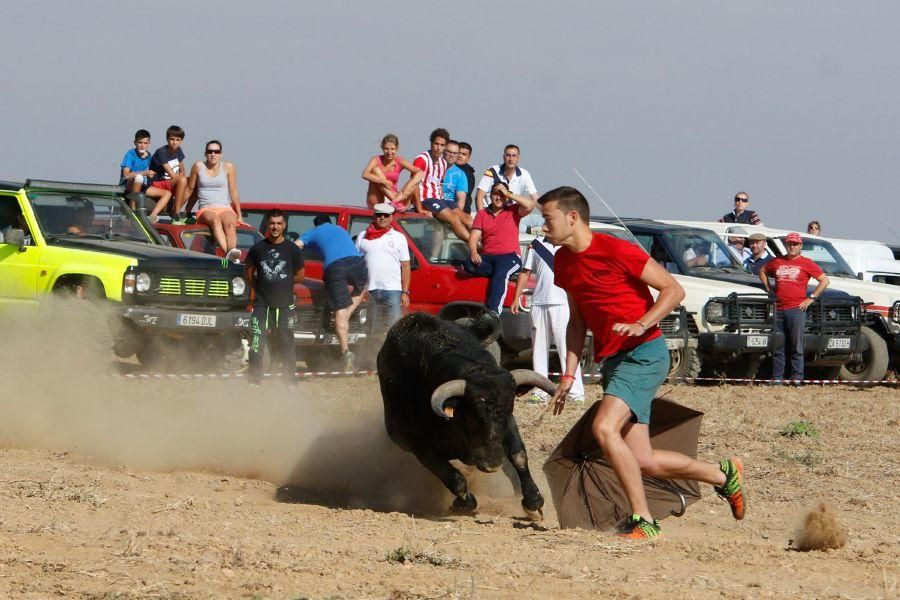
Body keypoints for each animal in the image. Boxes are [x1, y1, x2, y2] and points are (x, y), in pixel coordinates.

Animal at [374, 314, 556, 520]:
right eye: (473, 414)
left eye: (510, 408)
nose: (492, 464)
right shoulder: (421, 448)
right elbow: (454, 478)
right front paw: (462, 503)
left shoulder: (508, 426)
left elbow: (518, 456)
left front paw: (534, 502)